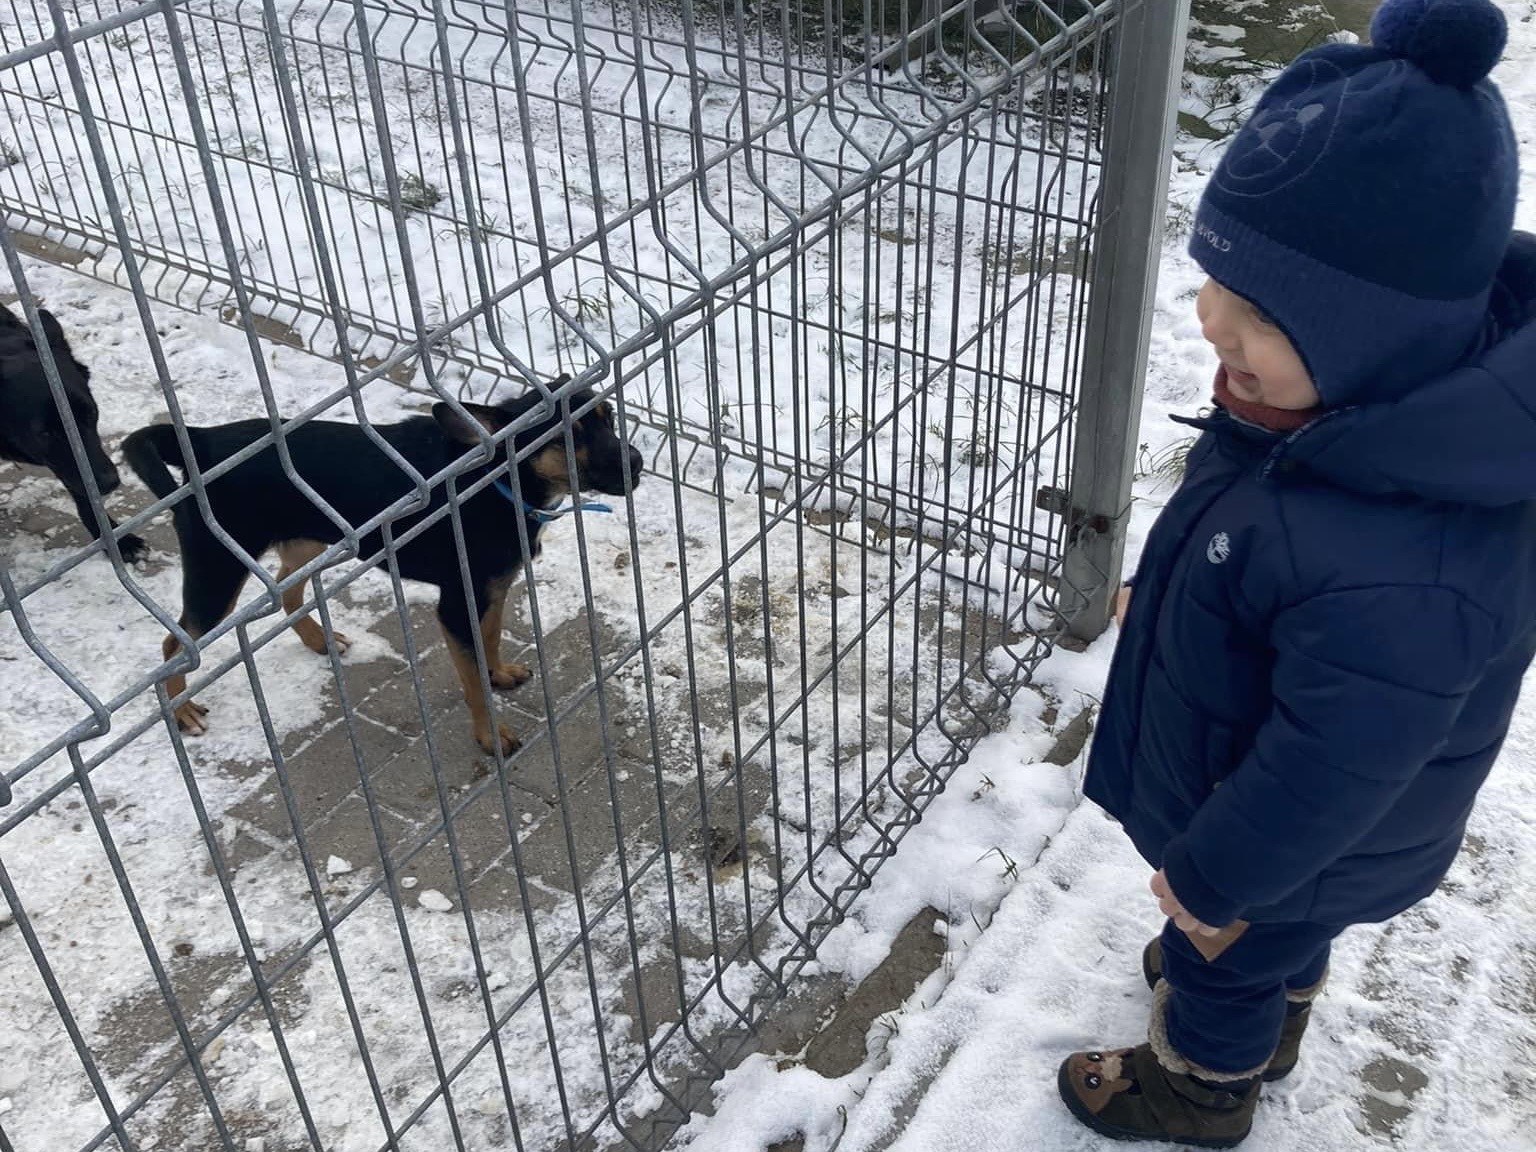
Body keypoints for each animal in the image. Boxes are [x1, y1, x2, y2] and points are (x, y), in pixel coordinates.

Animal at [0, 304, 146, 562]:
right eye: (45, 433)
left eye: (90, 413)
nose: (109, 482)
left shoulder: (76, 465)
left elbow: (87, 497)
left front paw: (118, 540)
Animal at [122, 384, 642, 752]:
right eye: (569, 435)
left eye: (609, 418)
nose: (637, 462)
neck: (494, 477)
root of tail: (202, 440)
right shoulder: (457, 605)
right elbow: (472, 677)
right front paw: (491, 735)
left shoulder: (493, 587)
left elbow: (490, 638)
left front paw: (499, 673)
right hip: (219, 571)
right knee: (174, 644)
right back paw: (183, 711)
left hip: (306, 541)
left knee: (288, 592)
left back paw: (320, 640)